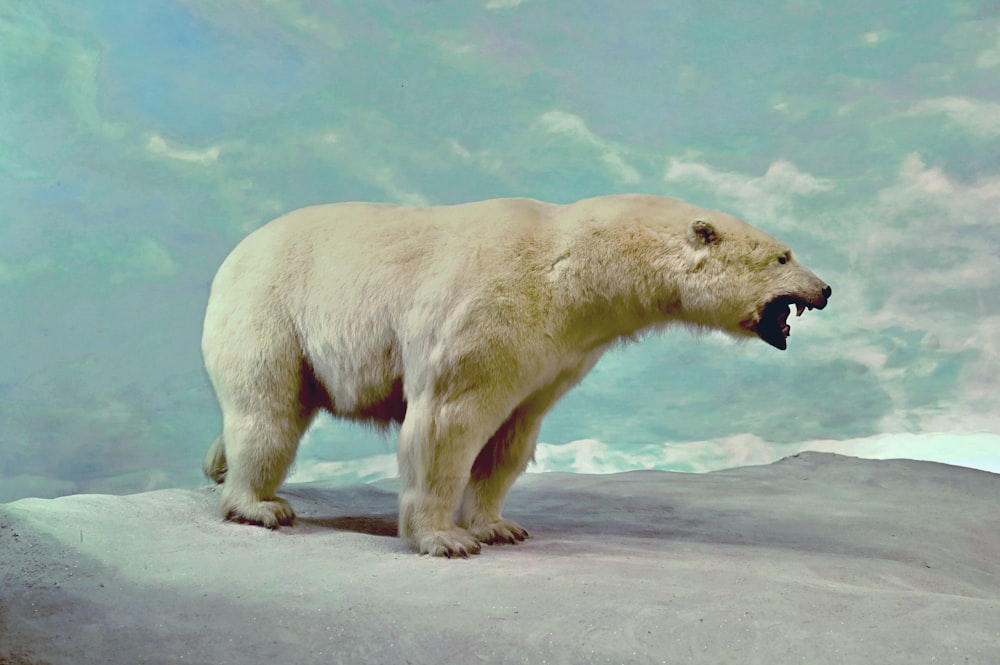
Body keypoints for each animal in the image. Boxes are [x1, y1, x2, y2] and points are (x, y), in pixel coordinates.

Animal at [201, 193, 828, 556]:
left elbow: (510, 437)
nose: (824, 289)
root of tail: (233, 256)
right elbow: (447, 422)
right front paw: (445, 539)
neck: (574, 267)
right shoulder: (487, 311)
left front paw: (498, 526)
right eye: (782, 256)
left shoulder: (558, 353)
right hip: (271, 310)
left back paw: (218, 464)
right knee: (267, 410)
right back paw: (258, 505)